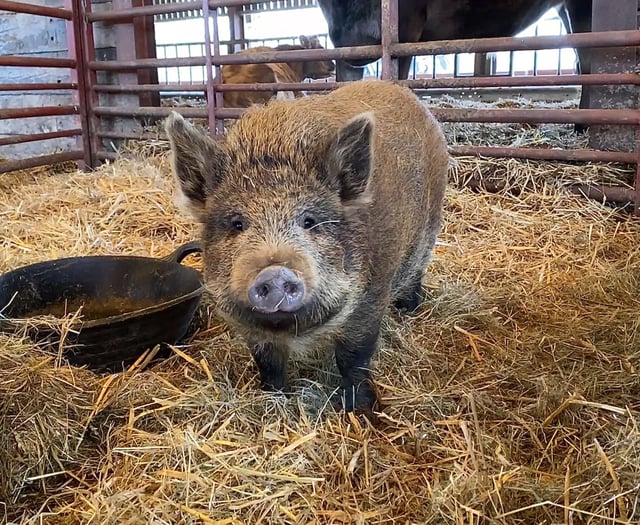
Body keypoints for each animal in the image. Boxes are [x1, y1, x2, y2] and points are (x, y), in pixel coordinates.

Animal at [164, 80, 449, 414]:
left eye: (309, 221)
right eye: (237, 223)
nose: (274, 272)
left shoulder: (372, 293)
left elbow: (354, 356)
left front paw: (359, 410)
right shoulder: (251, 328)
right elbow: (268, 362)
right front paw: (274, 399)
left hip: (430, 224)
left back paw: (409, 310)